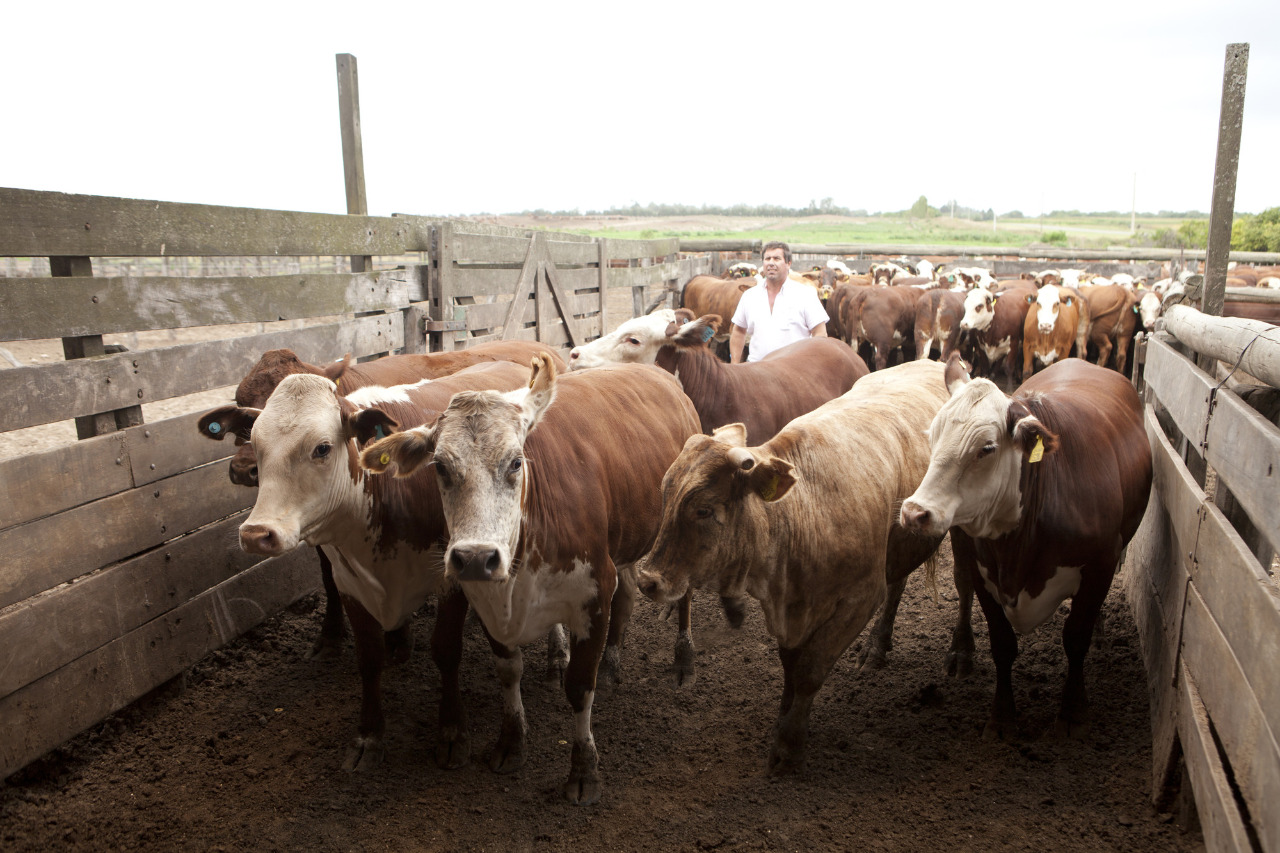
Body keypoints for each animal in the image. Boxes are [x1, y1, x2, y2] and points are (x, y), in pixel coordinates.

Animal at [208, 338, 565, 655]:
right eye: (244, 410)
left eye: (321, 446)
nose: (243, 469)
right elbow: (329, 579)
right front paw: (332, 635)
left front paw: (398, 639)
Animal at [358, 353, 701, 804]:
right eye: (440, 467)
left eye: (516, 461)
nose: (475, 558)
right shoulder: (490, 603)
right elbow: (509, 672)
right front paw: (511, 742)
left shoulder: (594, 595)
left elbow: (579, 687)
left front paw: (583, 770)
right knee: (627, 595)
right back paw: (612, 666)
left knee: (686, 592)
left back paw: (683, 660)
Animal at [634, 358, 957, 768]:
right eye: (666, 495)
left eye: (704, 509)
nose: (648, 580)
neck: (804, 513)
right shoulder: (787, 606)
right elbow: (790, 664)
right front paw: (784, 716)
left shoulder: (860, 599)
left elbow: (810, 670)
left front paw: (789, 743)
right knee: (898, 580)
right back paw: (878, 646)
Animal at [896, 350, 1157, 737]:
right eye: (932, 435)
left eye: (987, 448)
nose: (915, 512)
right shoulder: (982, 569)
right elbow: (1002, 643)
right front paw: (1002, 717)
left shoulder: (1103, 560)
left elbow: (1075, 637)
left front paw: (1072, 711)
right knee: (961, 585)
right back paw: (961, 652)